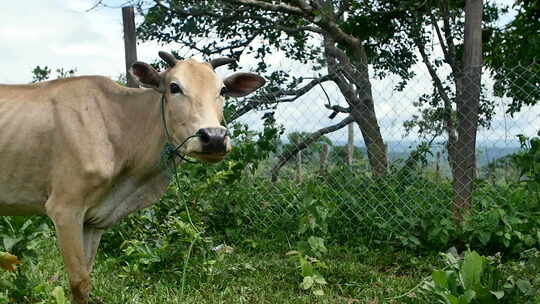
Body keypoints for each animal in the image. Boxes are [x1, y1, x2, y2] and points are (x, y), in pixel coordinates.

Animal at [0, 51, 266, 302]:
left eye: (222, 90)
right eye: (174, 87)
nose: (214, 137)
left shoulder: (93, 221)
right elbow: (79, 283)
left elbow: (86, 279)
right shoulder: (64, 208)